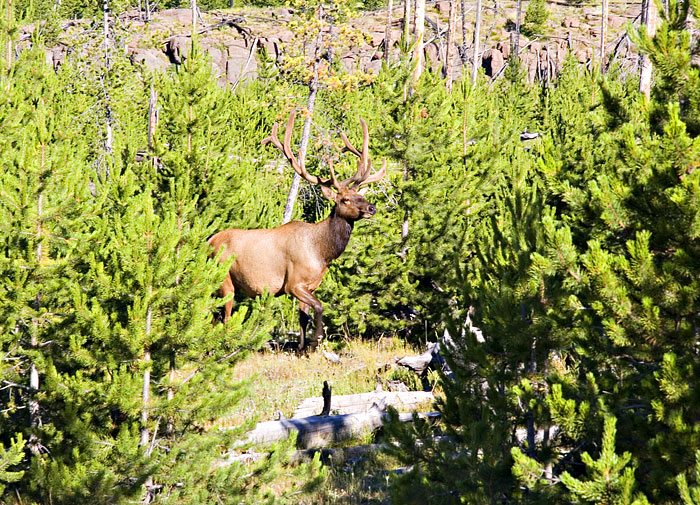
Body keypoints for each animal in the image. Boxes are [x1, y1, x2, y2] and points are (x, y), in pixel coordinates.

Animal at [208, 111, 388, 350]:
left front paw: (302, 348)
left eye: (361, 195)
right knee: (224, 318)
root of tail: (207, 243)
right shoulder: (293, 283)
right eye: (345, 199)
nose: (371, 208)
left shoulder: (311, 286)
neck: (322, 252)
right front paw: (315, 343)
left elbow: (304, 317)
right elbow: (319, 308)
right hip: (225, 280)